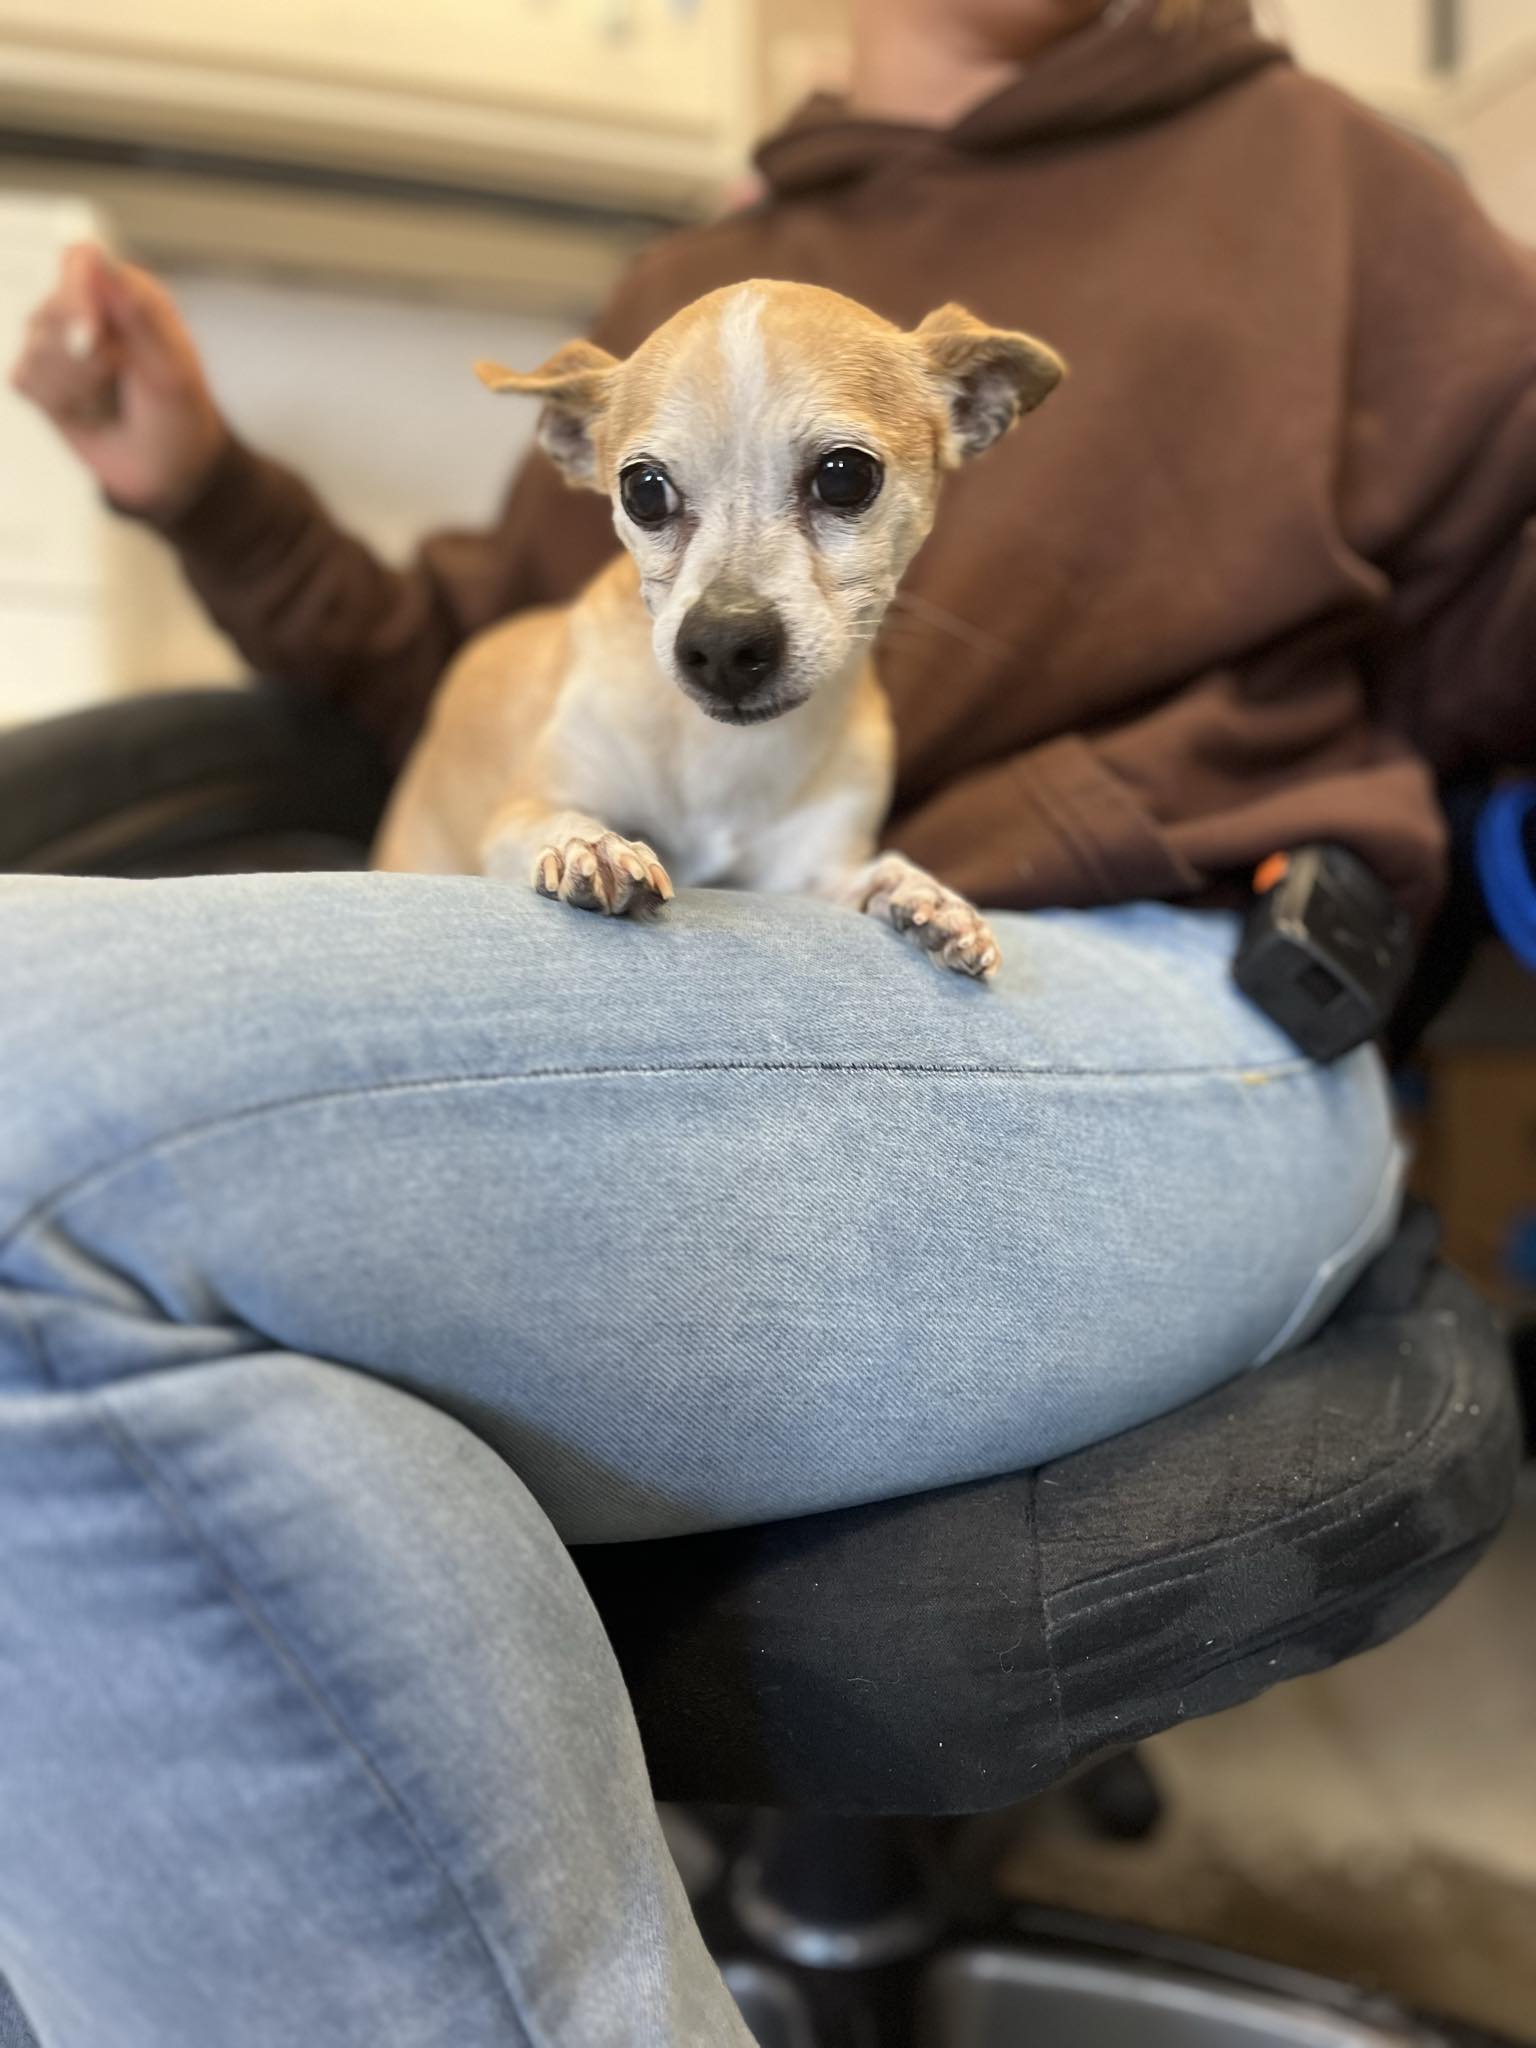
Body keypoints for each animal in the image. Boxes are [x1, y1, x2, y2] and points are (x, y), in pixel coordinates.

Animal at [378, 284, 1064, 978]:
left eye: (844, 475)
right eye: (643, 490)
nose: (724, 646)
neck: (722, 752)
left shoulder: (804, 877)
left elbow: (867, 877)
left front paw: (919, 893)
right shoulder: (526, 807)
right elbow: (544, 822)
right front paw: (585, 844)